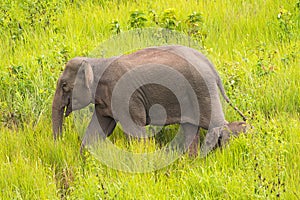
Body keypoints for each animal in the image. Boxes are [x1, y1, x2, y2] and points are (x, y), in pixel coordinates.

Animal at [52, 45, 248, 156]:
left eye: (64, 85)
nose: (59, 142)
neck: (95, 62)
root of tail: (210, 65)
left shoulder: (125, 96)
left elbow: (135, 130)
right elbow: (97, 130)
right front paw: (83, 162)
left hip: (202, 89)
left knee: (215, 124)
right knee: (190, 127)